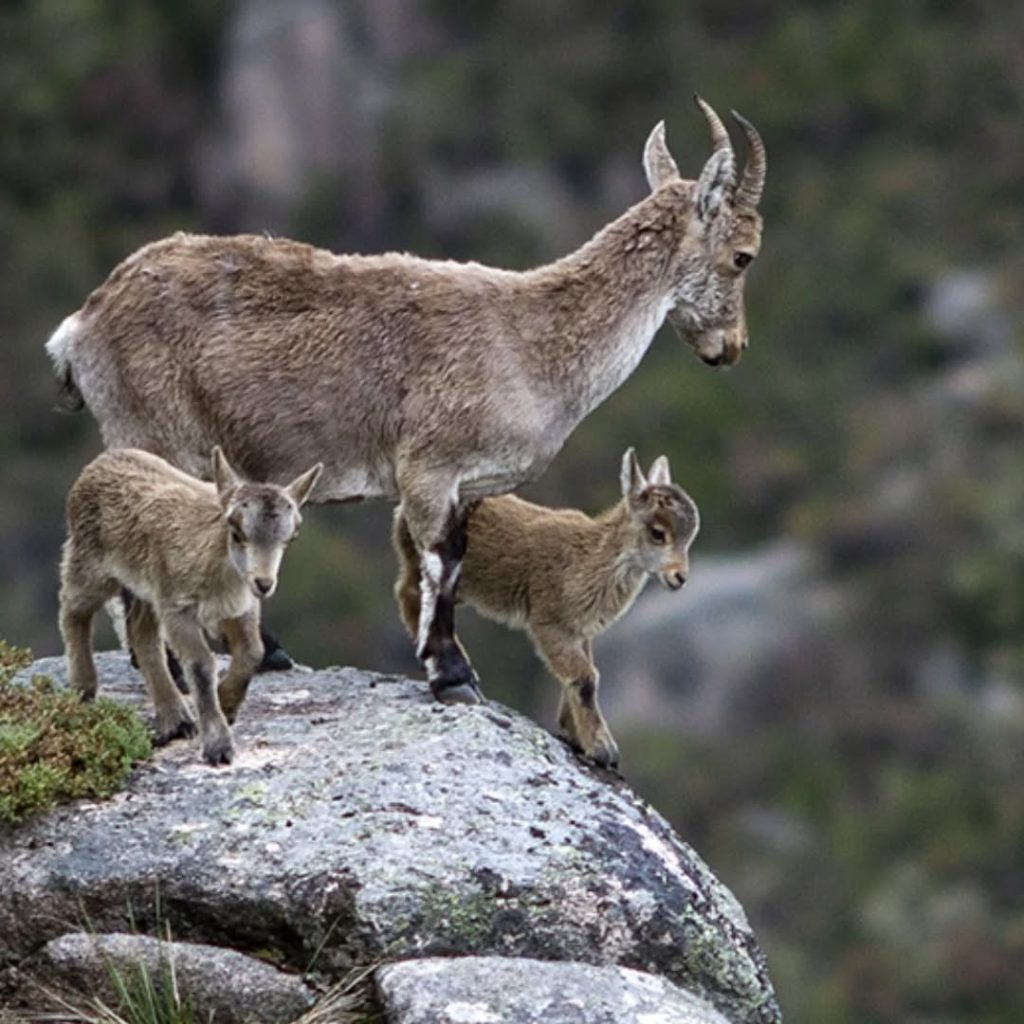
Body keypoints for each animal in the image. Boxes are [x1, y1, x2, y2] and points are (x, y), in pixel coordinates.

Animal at [45, 96, 764, 706]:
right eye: (744, 255)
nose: (731, 347)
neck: (532, 338)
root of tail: (81, 325)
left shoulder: (469, 485)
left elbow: (451, 560)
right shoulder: (428, 467)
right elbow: (438, 563)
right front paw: (452, 675)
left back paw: (265, 651)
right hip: (153, 433)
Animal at [59, 447, 321, 765]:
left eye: (290, 537)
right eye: (236, 532)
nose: (263, 583)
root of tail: (100, 462)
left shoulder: (240, 608)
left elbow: (252, 652)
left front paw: (227, 705)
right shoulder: (177, 608)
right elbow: (200, 664)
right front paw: (218, 745)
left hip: (146, 587)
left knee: (140, 632)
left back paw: (175, 719)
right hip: (90, 562)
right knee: (73, 608)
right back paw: (83, 688)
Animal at [393, 449, 699, 767]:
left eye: (690, 534)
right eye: (658, 532)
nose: (679, 577)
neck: (590, 560)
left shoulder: (579, 631)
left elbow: (580, 675)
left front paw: (573, 732)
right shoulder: (549, 621)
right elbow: (585, 678)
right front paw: (602, 749)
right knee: (411, 595)